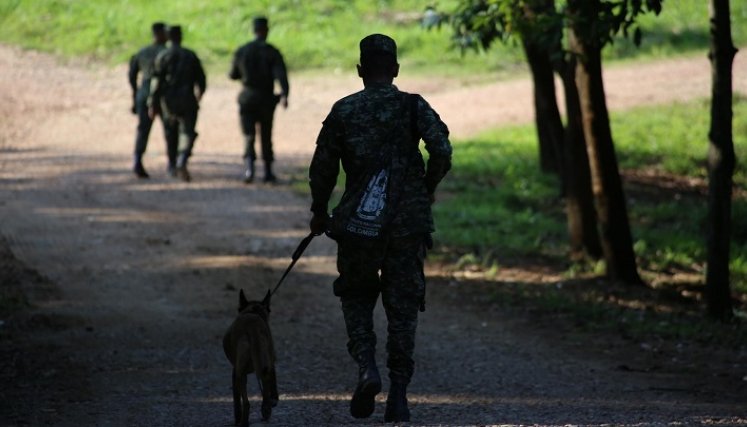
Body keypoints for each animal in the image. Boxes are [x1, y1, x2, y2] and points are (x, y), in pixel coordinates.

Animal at [225, 290, 280, 426]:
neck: (253, 311)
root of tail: (253, 327)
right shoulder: (271, 361)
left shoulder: (235, 372)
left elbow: (236, 401)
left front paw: (237, 419)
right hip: (267, 361)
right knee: (267, 387)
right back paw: (266, 410)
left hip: (240, 375)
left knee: (246, 402)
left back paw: (243, 422)